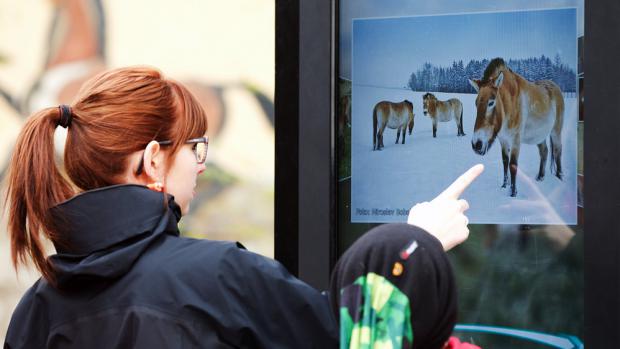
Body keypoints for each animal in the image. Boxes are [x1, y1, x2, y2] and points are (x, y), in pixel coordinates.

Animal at [468, 58, 564, 197]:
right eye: (476, 104)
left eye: (491, 102)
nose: (477, 144)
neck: (510, 105)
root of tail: (555, 86)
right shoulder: (503, 140)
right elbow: (505, 162)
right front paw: (504, 186)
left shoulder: (515, 140)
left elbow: (513, 165)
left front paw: (513, 193)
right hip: (539, 136)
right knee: (544, 152)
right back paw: (540, 177)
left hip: (556, 131)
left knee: (557, 152)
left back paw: (560, 178)